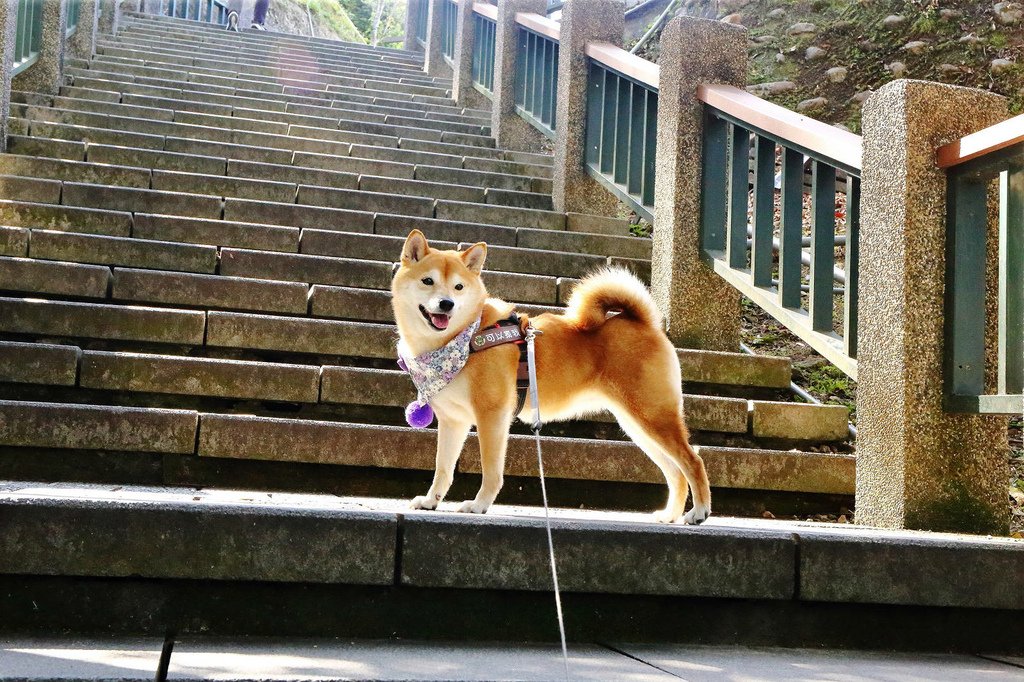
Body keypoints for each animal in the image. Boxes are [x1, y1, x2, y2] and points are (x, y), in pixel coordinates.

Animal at [391, 231, 712, 522]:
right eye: (428, 281)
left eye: (458, 287)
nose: (447, 304)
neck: (464, 338)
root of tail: (645, 323)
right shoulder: (453, 421)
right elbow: (443, 469)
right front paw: (431, 501)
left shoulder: (491, 415)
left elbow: (491, 468)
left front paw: (479, 505)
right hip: (637, 425)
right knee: (675, 471)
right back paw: (670, 515)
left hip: (652, 416)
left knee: (692, 460)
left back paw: (698, 511)